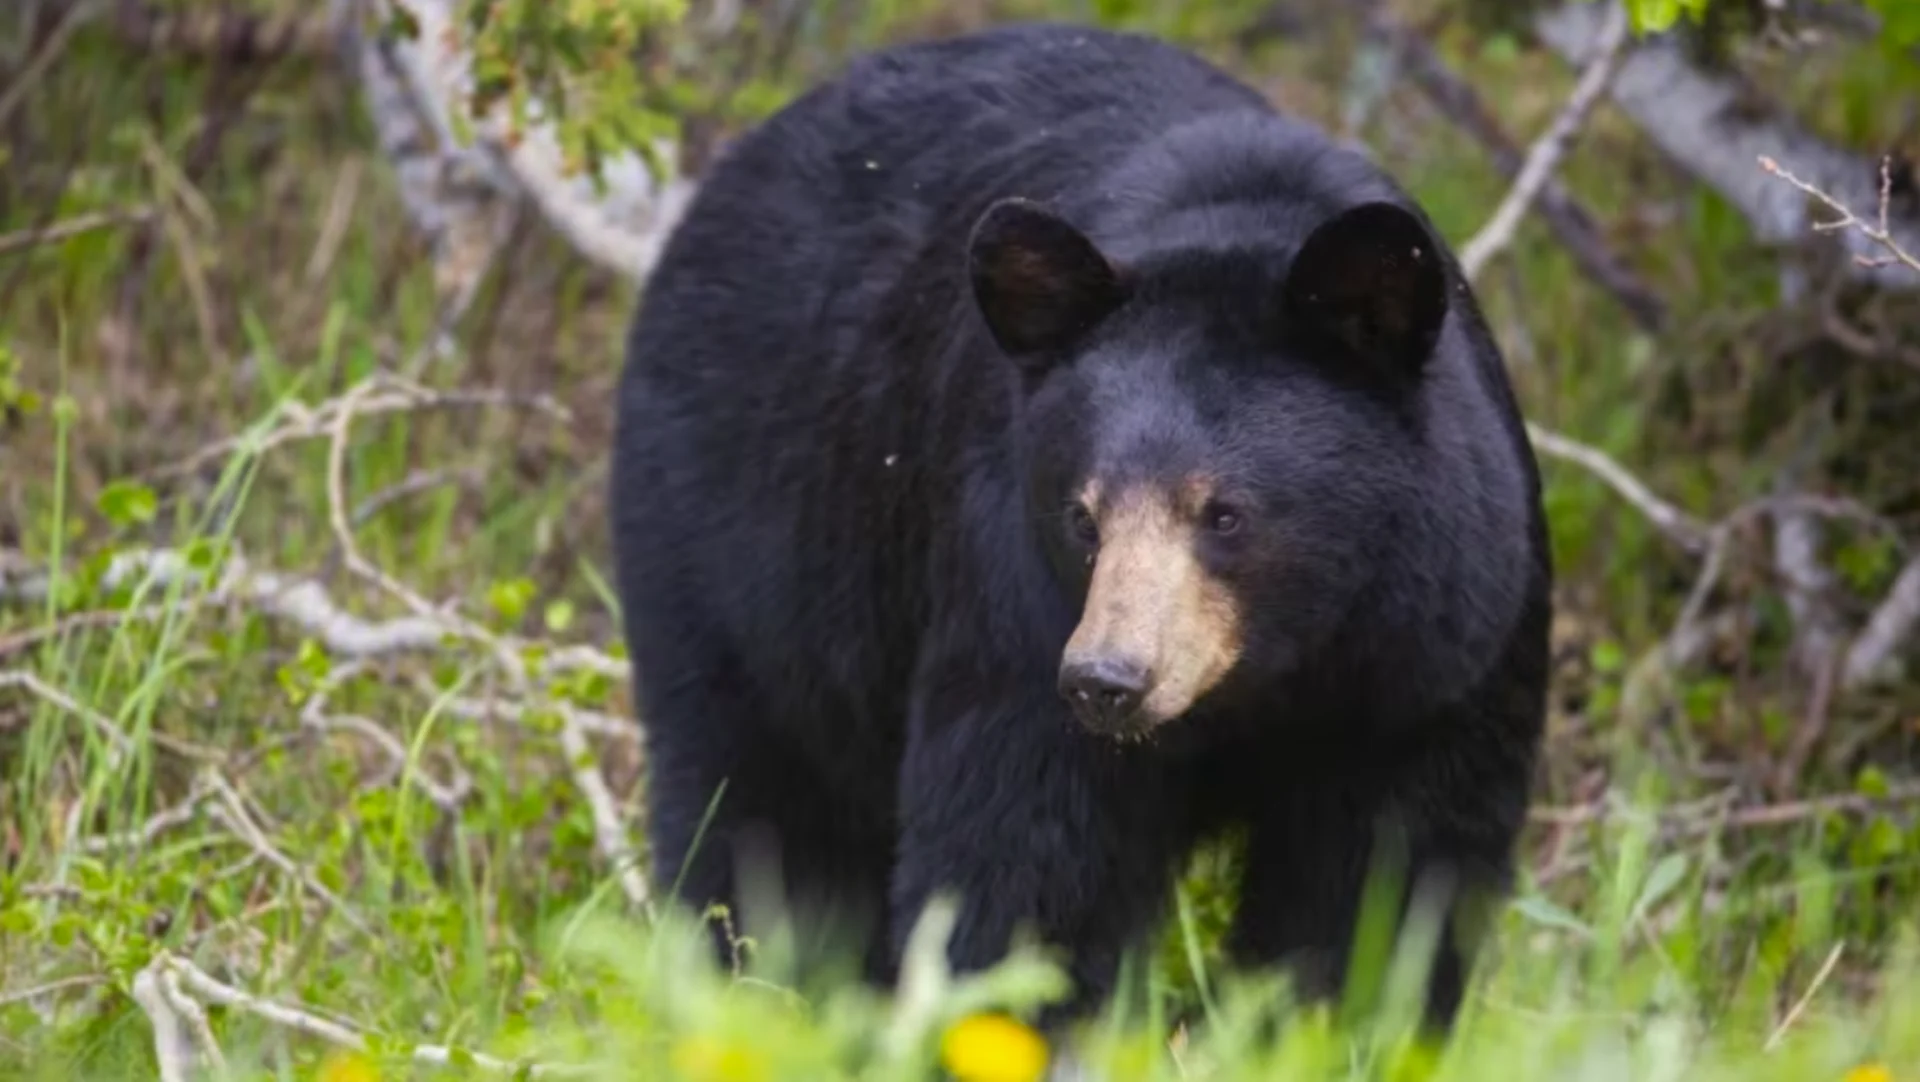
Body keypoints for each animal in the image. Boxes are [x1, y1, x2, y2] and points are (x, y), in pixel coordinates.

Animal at [606, 19, 1551, 1028]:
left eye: (1225, 513)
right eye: (1083, 516)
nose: (1108, 680)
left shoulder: (1436, 651)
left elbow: (1383, 879)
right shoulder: (1018, 604)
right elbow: (1027, 855)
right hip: (741, 546)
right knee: (759, 805)